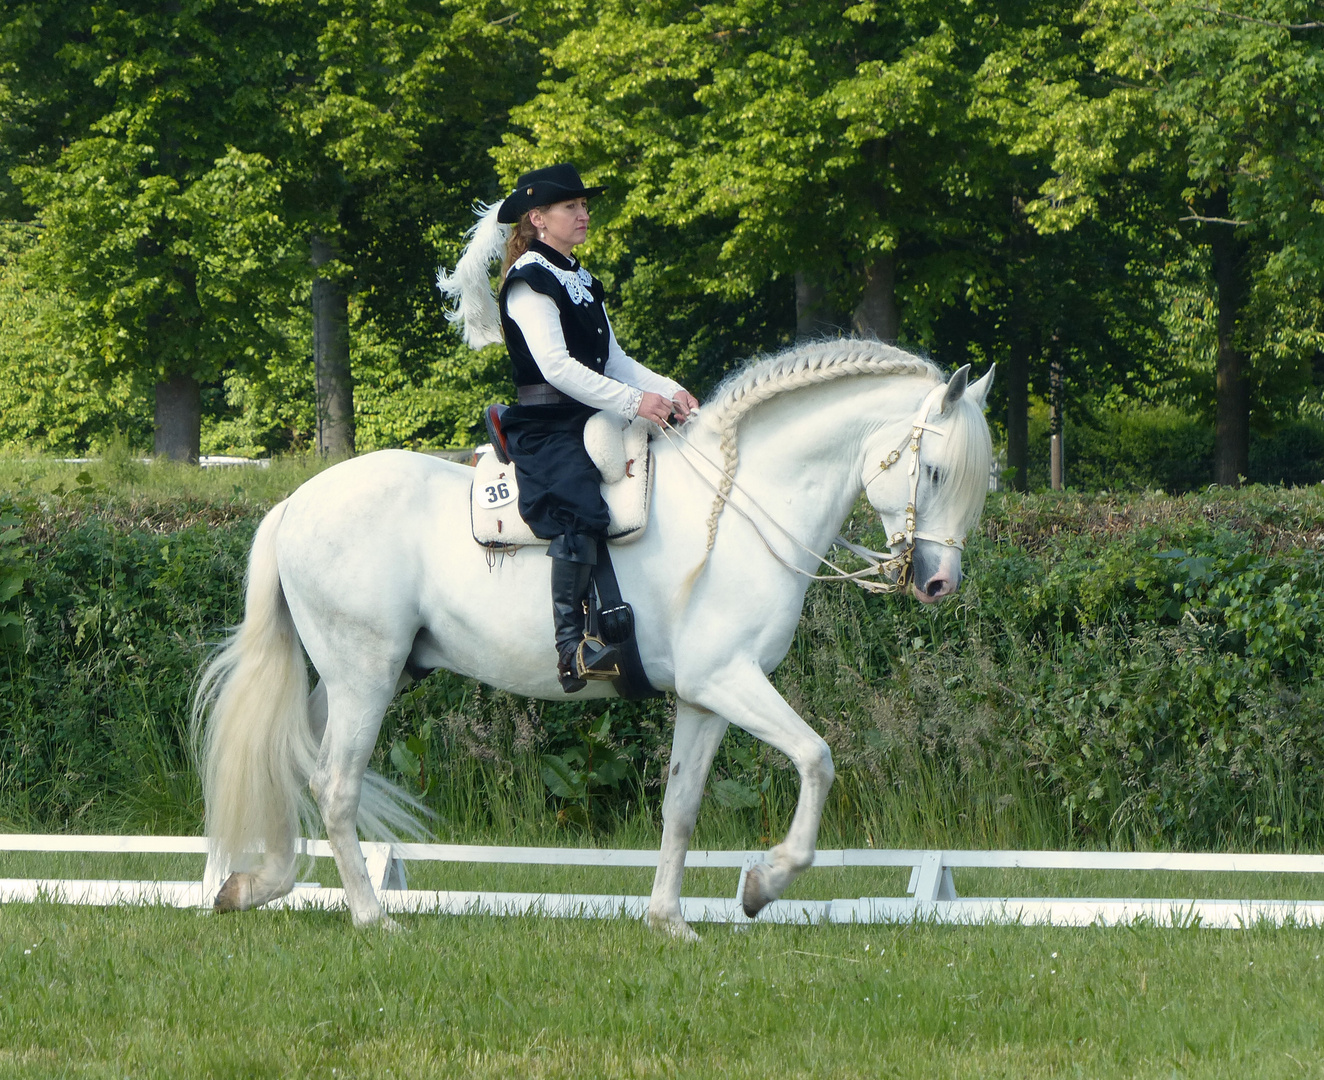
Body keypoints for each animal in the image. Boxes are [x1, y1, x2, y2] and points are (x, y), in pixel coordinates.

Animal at [191, 337, 990, 937]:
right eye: (934, 470)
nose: (937, 584)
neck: (738, 505)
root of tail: (296, 501)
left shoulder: (705, 697)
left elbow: (682, 805)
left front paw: (671, 921)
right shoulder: (728, 679)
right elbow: (817, 758)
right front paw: (764, 883)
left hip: (347, 677)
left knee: (292, 762)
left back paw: (251, 886)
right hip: (366, 675)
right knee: (334, 783)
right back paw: (371, 917)